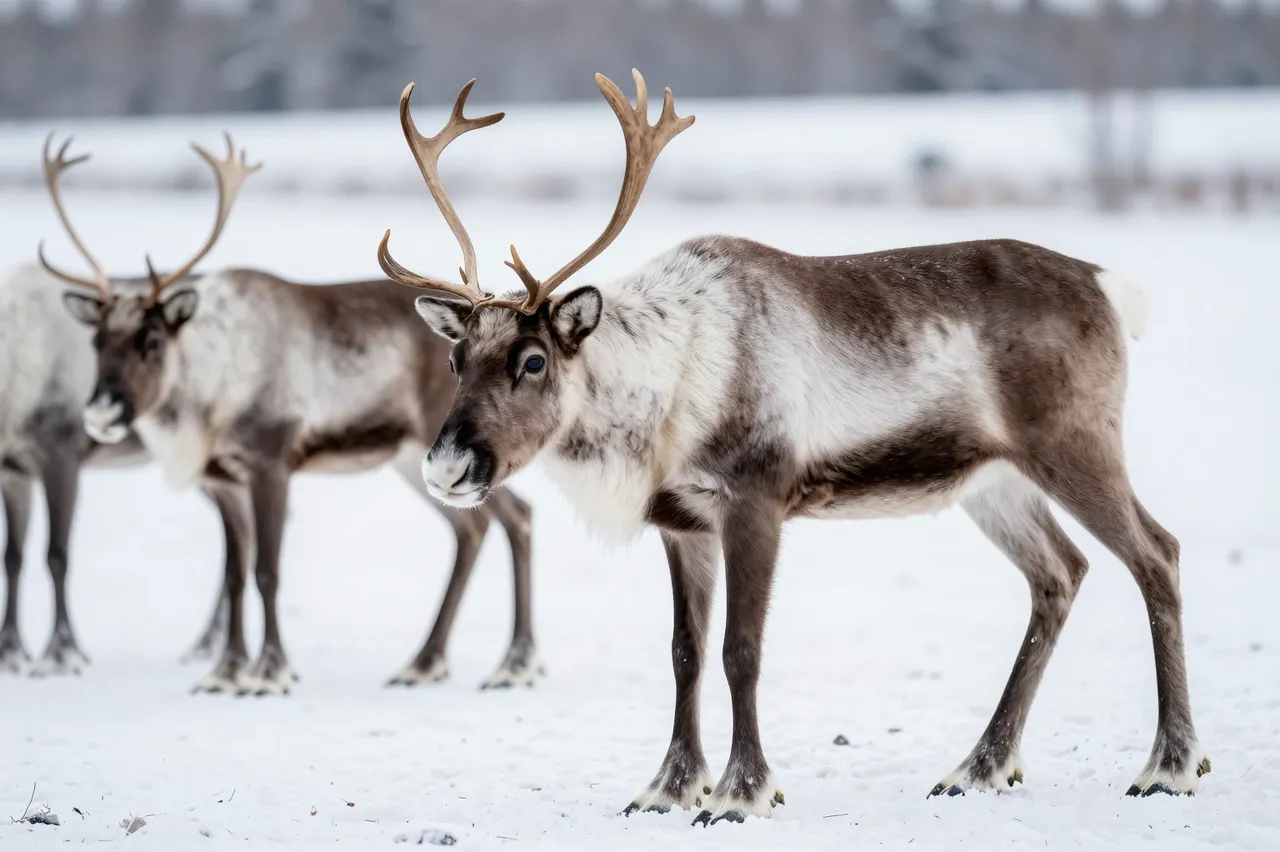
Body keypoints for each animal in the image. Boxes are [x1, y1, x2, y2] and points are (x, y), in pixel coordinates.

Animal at [37, 123, 542, 696]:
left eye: (152, 340)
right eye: (97, 340)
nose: (99, 414)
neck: (207, 393)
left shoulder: (270, 463)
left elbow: (267, 571)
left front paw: (270, 671)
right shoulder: (222, 480)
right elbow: (235, 574)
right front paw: (226, 671)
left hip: (453, 455)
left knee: (518, 516)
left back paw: (514, 664)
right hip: (419, 463)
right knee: (473, 529)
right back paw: (425, 662)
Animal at [376, 69, 1210, 824]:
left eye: (533, 360)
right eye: (456, 359)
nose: (447, 465)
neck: (665, 389)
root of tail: (1108, 287)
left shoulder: (757, 499)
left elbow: (740, 650)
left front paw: (741, 793)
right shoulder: (682, 521)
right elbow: (684, 652)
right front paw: (668, 786)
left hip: (1075, 444)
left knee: (1156, 553)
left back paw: (1169, 766)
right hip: (994, 484)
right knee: (1060, 573)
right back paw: (979, 767)